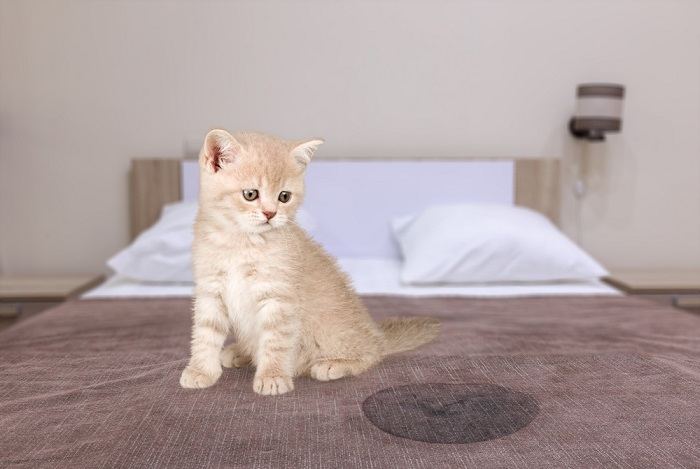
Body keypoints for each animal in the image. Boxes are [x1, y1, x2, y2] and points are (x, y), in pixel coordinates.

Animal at [179, 130, 438, 394]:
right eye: (250, 194)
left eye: (284, 197)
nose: (270, 214)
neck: (240, 242)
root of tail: (377, 336)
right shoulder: (210, 290)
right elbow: (205, 334)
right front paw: (201, 371)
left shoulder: (279, 296)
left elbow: (275, 340)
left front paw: (273, 376)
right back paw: (239, 352)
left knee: (370, 356)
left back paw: (334, 364)